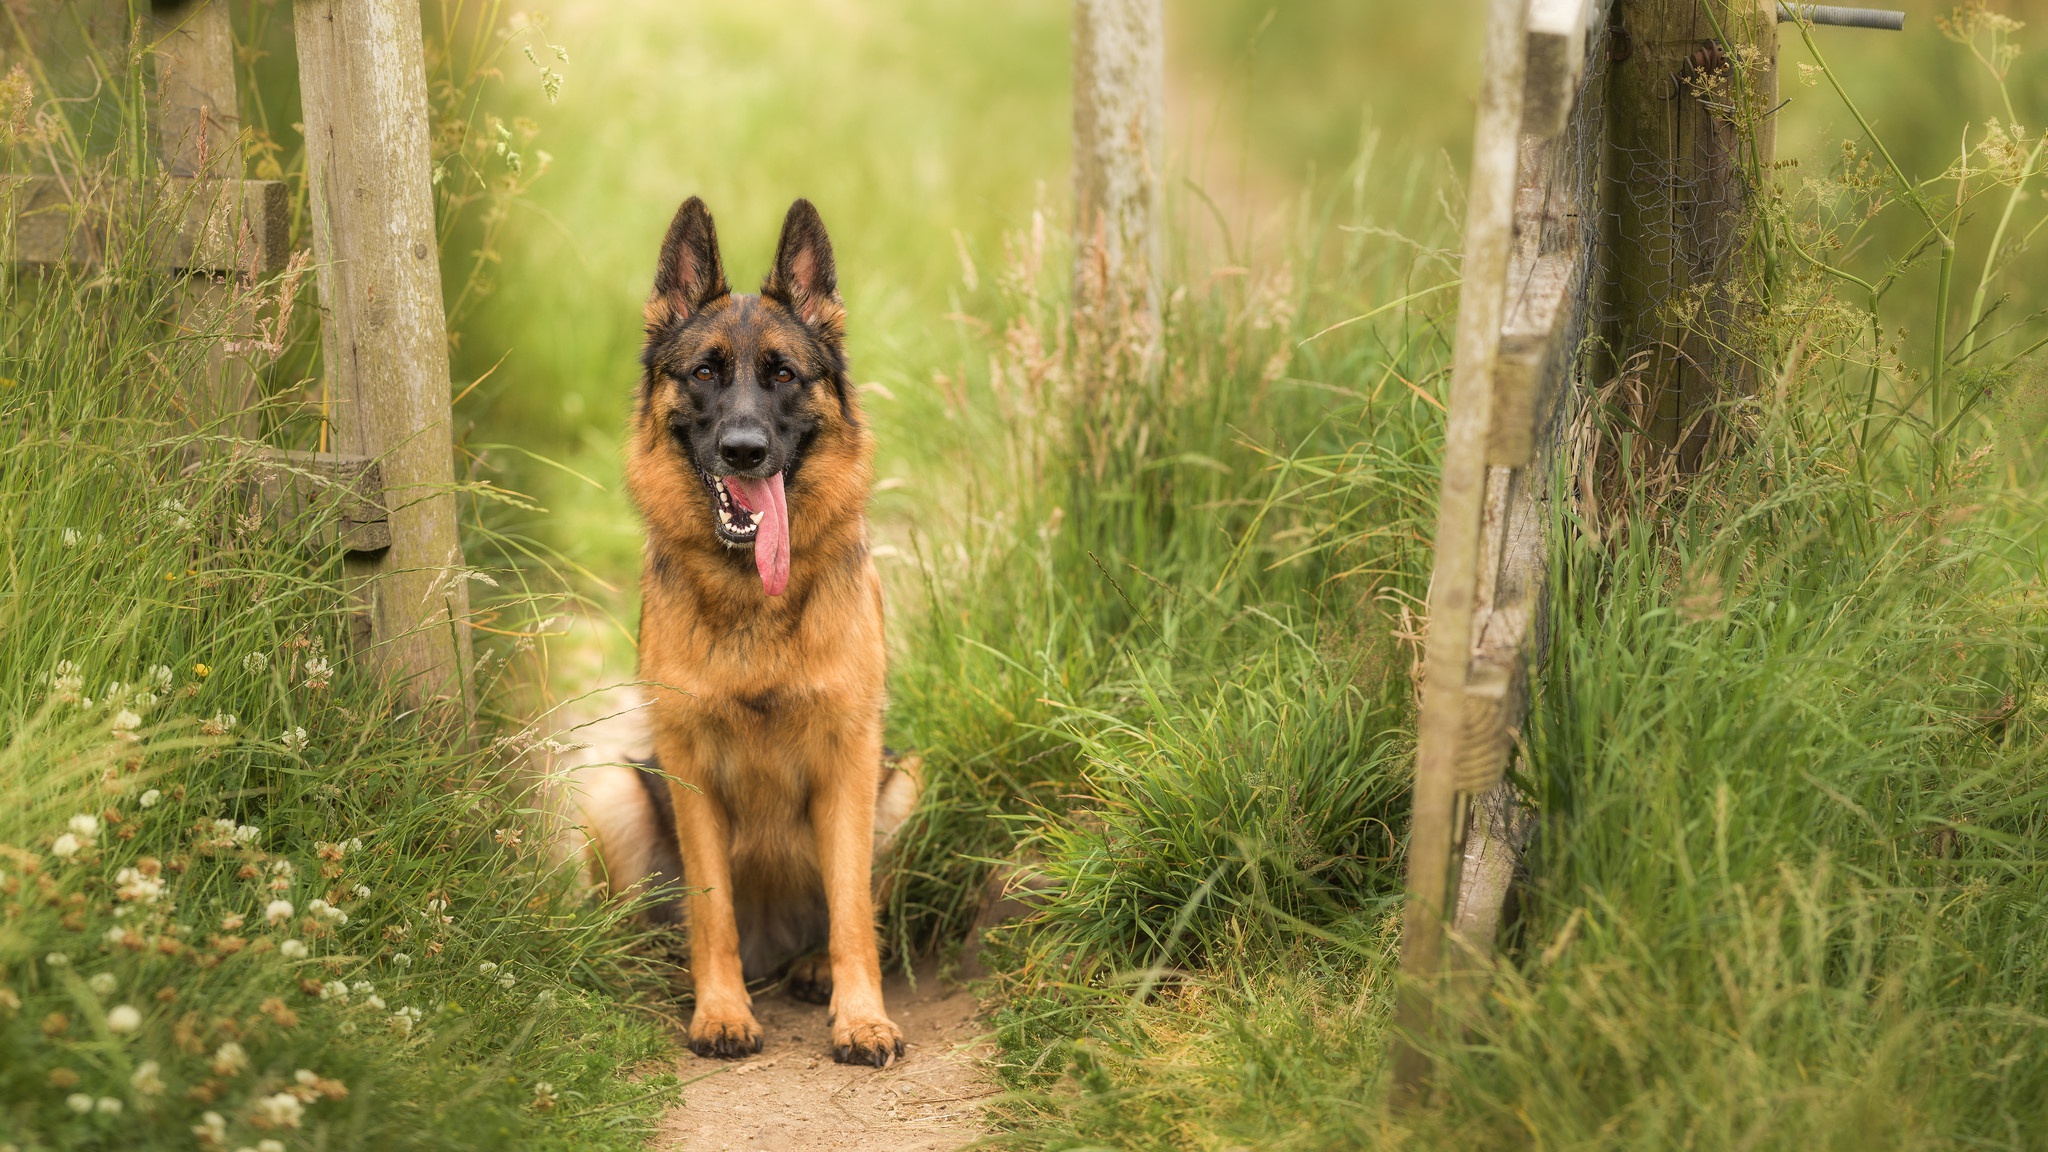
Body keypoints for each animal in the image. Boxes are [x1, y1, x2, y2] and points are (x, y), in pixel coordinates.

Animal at [626, 194, 901, 1057]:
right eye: (705, 372)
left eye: (782, 375)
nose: (745, 452)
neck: (754, 596)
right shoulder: (687, 770)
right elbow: (711, 907)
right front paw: (721, 1010)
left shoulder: (851, 762)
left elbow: (853, 910)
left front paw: (863, 1016)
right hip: (615, 788)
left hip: (904, 785)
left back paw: (812, 969)